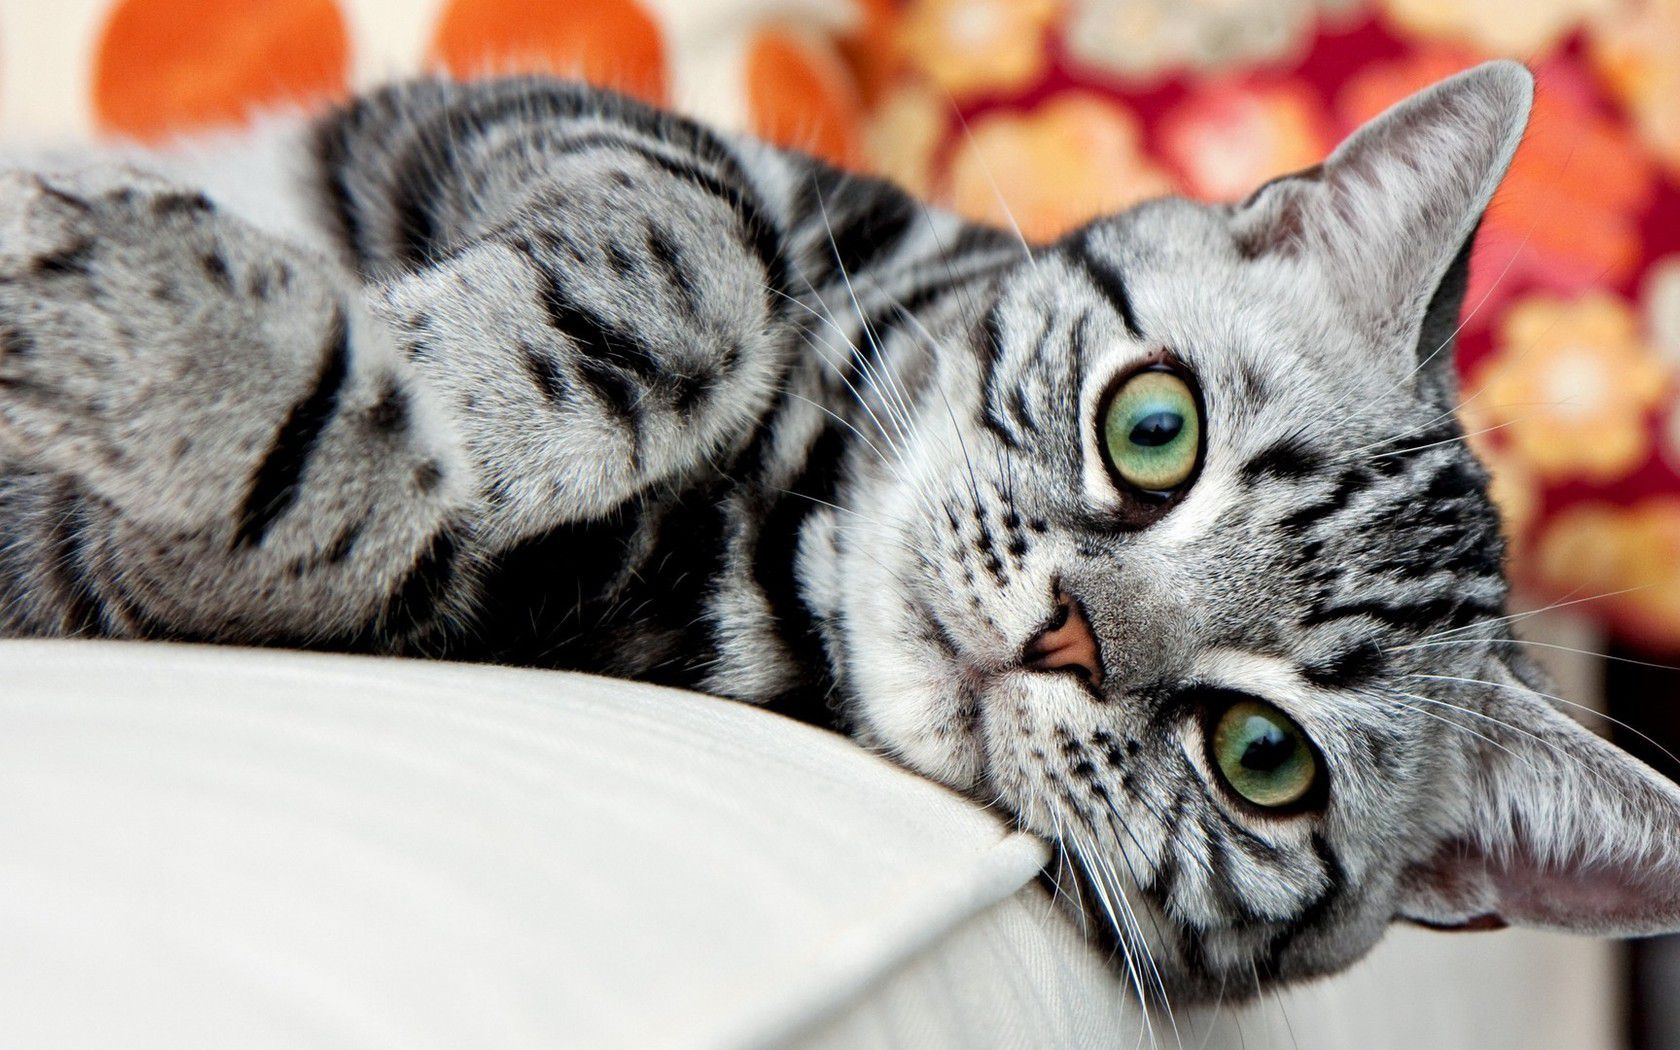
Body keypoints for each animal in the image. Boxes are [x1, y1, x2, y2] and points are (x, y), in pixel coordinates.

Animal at [3, 55, 1680, 1001]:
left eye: (1262, 758)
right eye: (1155, 429)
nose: (1066, 632)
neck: (795, 491)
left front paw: (196, 361)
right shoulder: (539, 124)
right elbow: (704, 251)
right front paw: (428, 378)